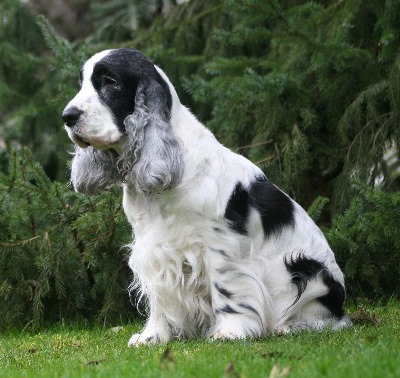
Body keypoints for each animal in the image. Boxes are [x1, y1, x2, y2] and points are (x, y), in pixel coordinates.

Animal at [62, 47, 350, 346]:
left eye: (109, 81)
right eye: (81, 84)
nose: (67, 116)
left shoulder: (219, 244)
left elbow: (227, 289)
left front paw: (230, 332)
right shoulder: (151, 247)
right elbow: (158, 297)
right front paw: (151, 337)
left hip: (306, 270)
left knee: (327, 320)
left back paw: (288, 327)